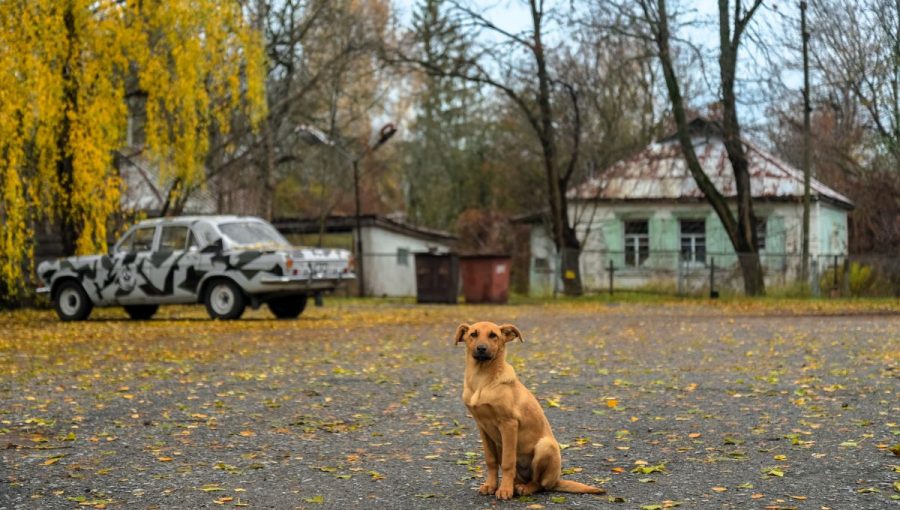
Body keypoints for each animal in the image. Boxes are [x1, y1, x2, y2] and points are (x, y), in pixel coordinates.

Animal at [458, 320, 604, 500]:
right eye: (473, 334)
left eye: (493, 335)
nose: (481, 349)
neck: (482, 379)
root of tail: (556, 480)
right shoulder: (483, 426)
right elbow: (491, 460)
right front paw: (490, 485)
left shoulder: (509, 423)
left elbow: (507, 462)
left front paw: (504, 490)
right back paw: (515, 485)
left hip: (545, 446)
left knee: (539, 484)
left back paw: (522, 489)